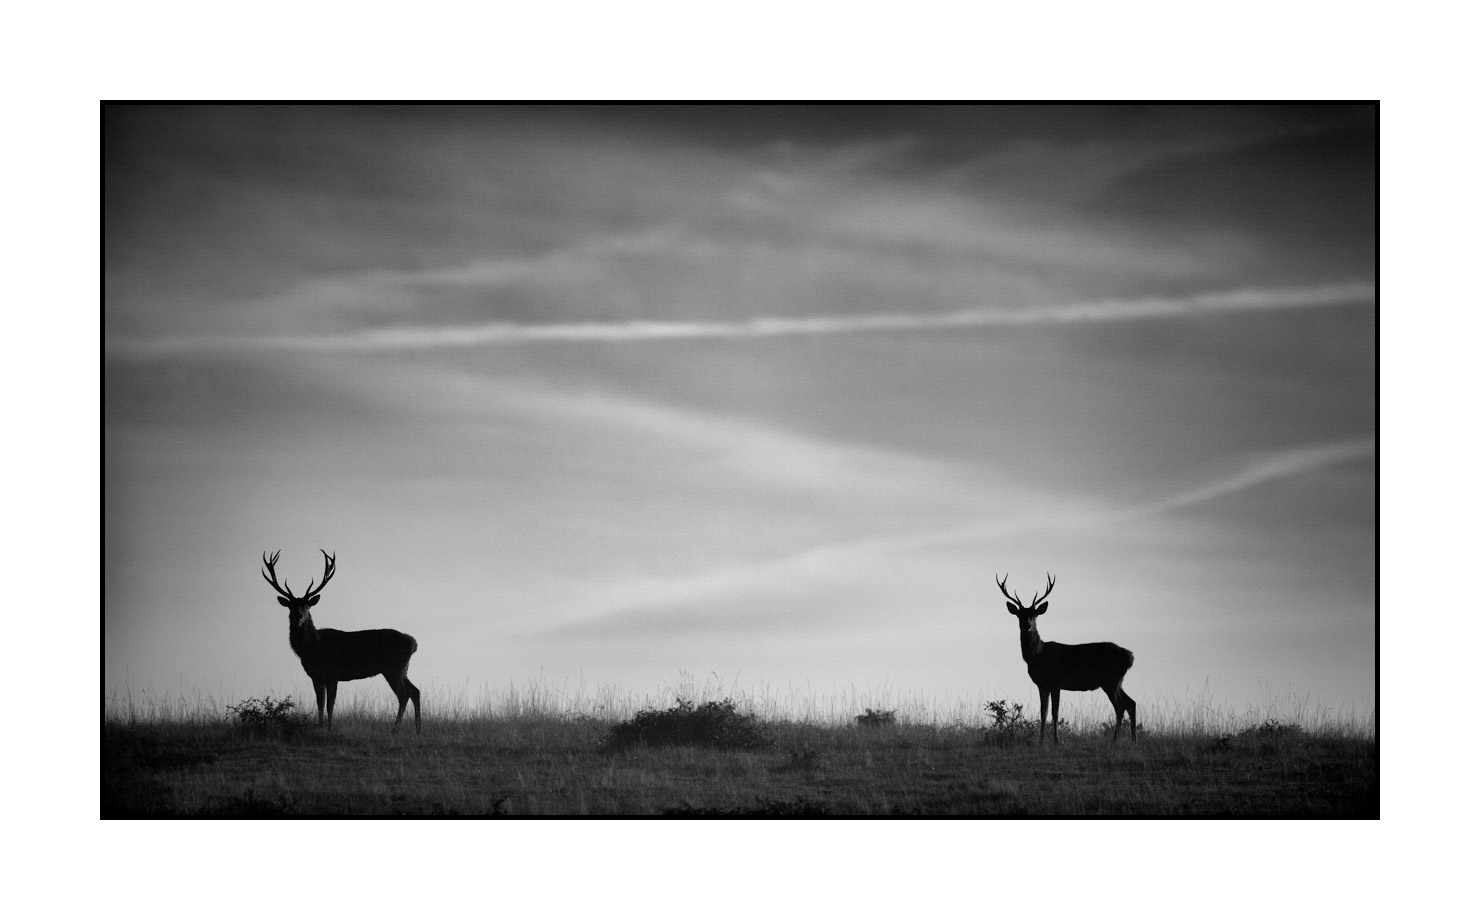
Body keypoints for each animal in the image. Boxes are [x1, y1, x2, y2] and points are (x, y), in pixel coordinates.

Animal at [260, 556, 420, 736]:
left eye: (307, 605)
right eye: (291, 606)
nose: (298, 616)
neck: (312, 647)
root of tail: (414, 643)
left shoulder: (332, 674)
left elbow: (330, 704)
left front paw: (329, 728)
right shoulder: (316, 676)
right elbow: (320, 703)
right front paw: (321, 727)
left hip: (393, 668)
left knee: (404, 693)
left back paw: (395, 729)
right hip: (402, 669)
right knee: (415, 691)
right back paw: (418, 729)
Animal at [1000, 573, 1136, 745]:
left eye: (1034, 615)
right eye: (1020, 615)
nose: (1027, 625)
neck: (1038, 656)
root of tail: (1130, 656)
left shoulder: (1056, 681)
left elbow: (1055, 712)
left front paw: (1057, 741)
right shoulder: (1042, 685)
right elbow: (1043, 713)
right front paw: (1041, 741)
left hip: (1111, 680)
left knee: (1120, 706)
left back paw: (1115, 740)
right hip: (1116, 681)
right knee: (1131, 703)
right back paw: (1133, 739)